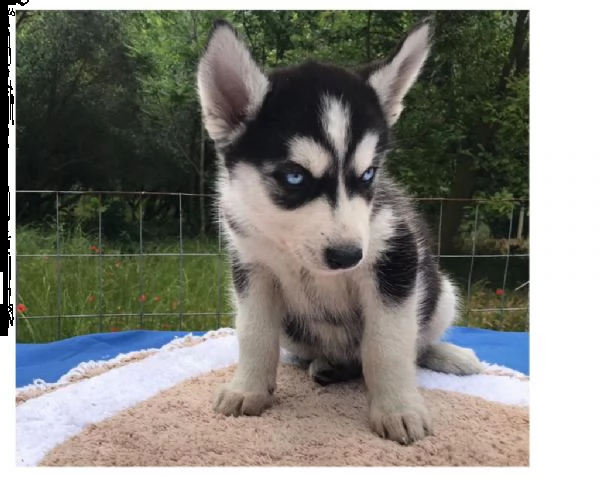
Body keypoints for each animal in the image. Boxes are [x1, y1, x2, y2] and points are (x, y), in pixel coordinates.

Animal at [197, 18, 482, 446]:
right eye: (294, 177)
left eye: (368, 175)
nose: (348, 256)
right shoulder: (252, 266)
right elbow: (254, 333)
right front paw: (247, 389)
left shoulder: (395, 258)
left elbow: (388, 346)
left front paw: (397, 408)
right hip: (295, 330)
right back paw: (329, 365)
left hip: (441, 291)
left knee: (415, 343)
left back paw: (446, 355)